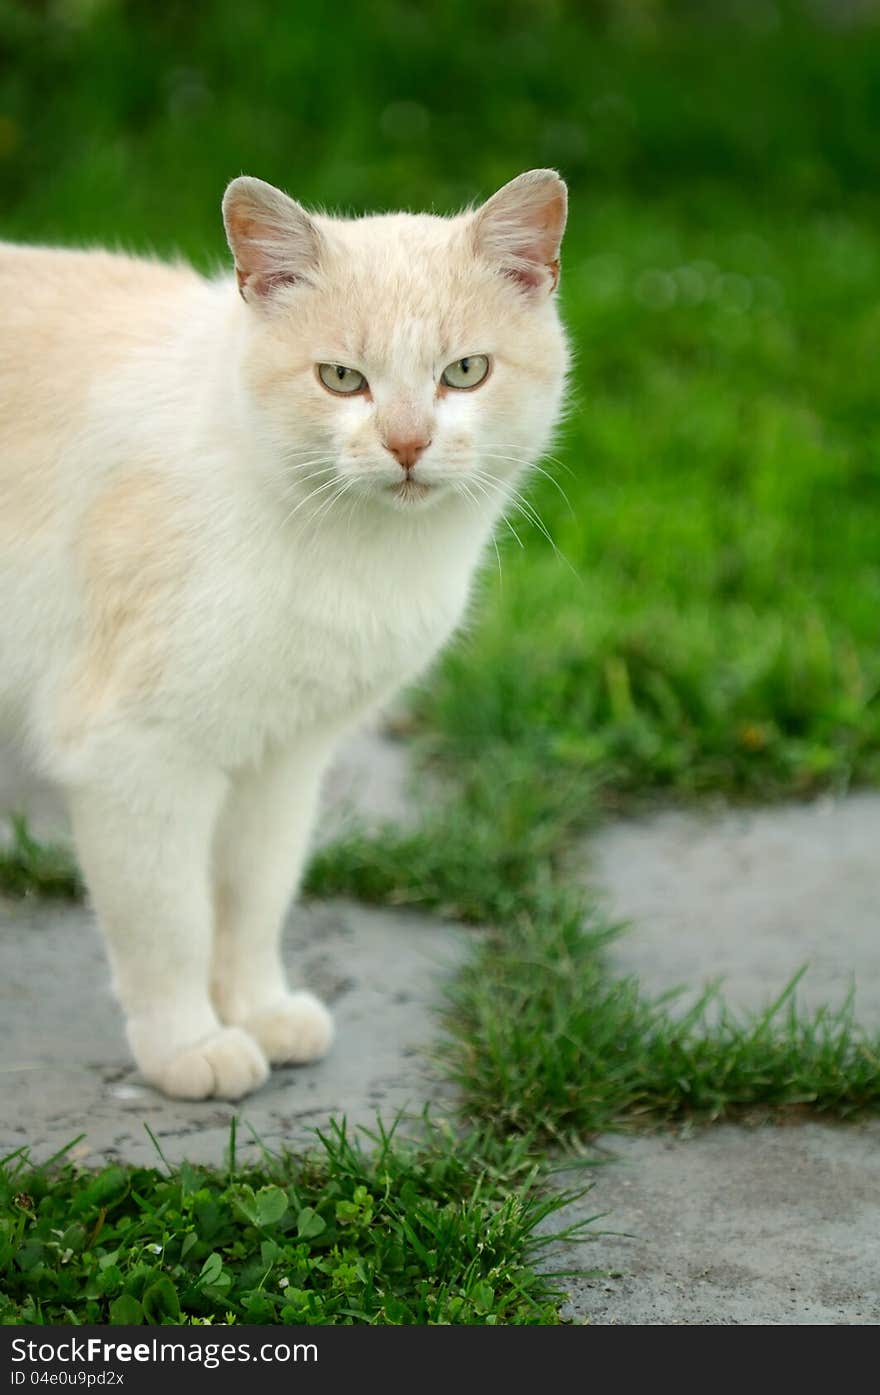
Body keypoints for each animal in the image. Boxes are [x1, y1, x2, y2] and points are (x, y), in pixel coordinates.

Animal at [0, 166, 571, 1099]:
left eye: (465, 371)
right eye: (341, 378)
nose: (407, 443)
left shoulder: (284, 758)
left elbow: (255, 896)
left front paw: (259, 1011)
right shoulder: (133, 756)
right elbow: (170, 921)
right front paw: (189, 1046)